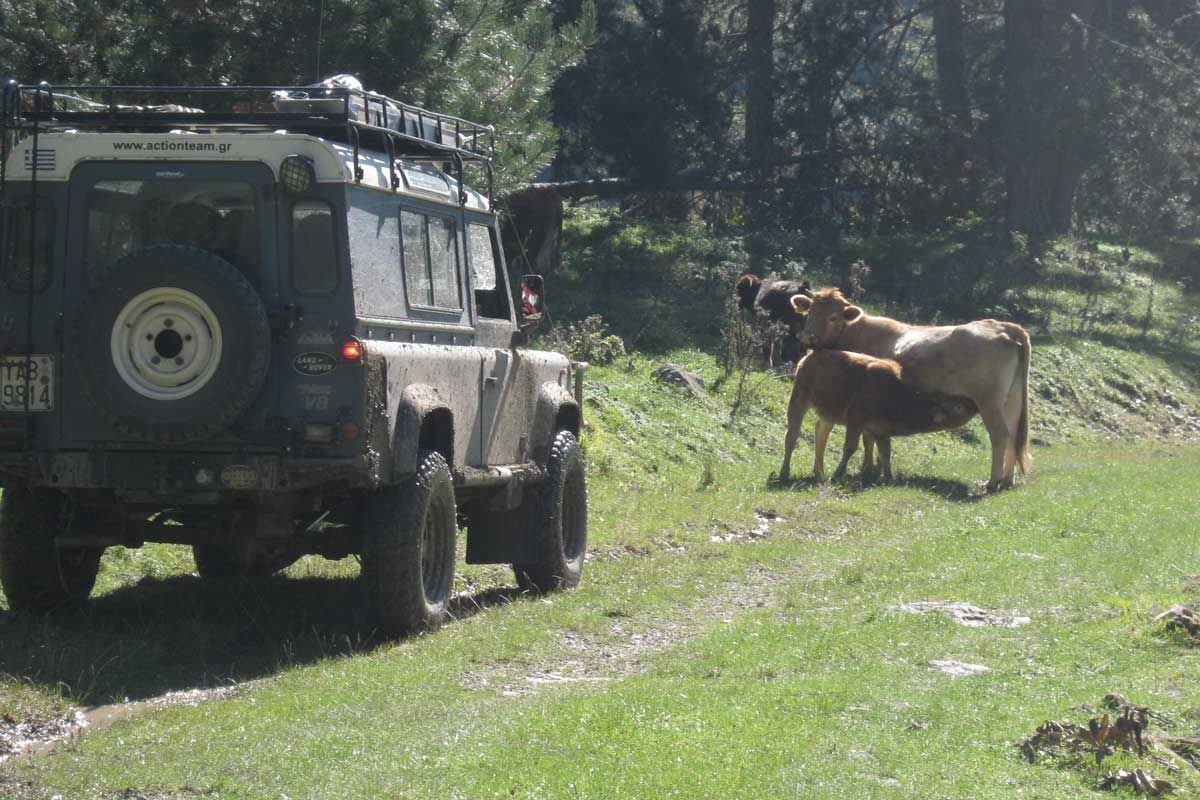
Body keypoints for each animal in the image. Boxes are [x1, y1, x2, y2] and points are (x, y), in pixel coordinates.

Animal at [779, 349, 978, 484]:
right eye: (958, 406)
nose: (974, 403)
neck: (893, 393)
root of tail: (811, 355)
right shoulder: (856, 421)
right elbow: (851, 448)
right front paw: (838, 474)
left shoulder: (880, 430)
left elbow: (884, 453)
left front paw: (887, 478)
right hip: (799, 400)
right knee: (791, 436)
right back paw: (784, 473)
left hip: (829, 414)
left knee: (821, 433)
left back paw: (819, 473)